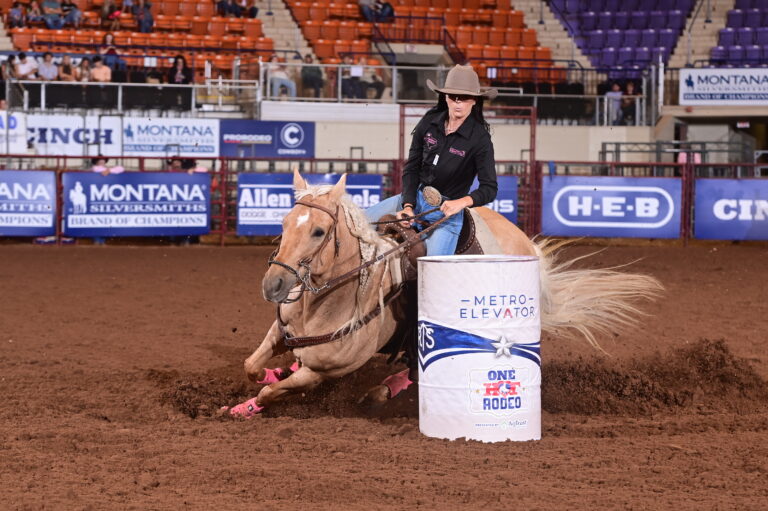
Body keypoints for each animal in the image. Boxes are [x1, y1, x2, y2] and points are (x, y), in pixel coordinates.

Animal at [226, 170, 661, 417]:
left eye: (318, 231)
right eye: (284, 222)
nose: (274, 285)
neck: (330, 301)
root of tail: (525, 243)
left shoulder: (326, 372)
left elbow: (272, 390)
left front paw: (249, 405)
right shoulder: (281, 331)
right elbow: (253, 367)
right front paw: (272, 371)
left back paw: (382, 391)